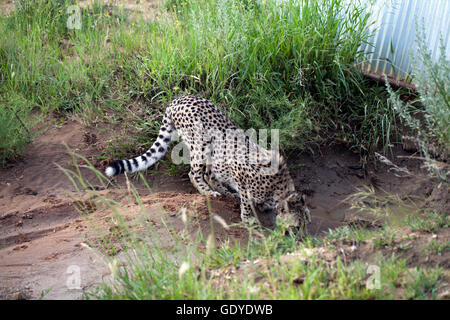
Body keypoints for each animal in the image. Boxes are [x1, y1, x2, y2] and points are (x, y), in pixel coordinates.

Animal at [105, 95, 312, 232]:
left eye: (306, 223)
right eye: (296, 226)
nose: (302, 238)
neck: (278, 188)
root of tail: (179, 98)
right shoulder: (241, 173)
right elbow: (246, 200)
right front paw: (248, 218)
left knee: (209, 174)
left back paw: (226, 192)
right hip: (202, 145)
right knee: (195, 173)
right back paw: (208, 192)